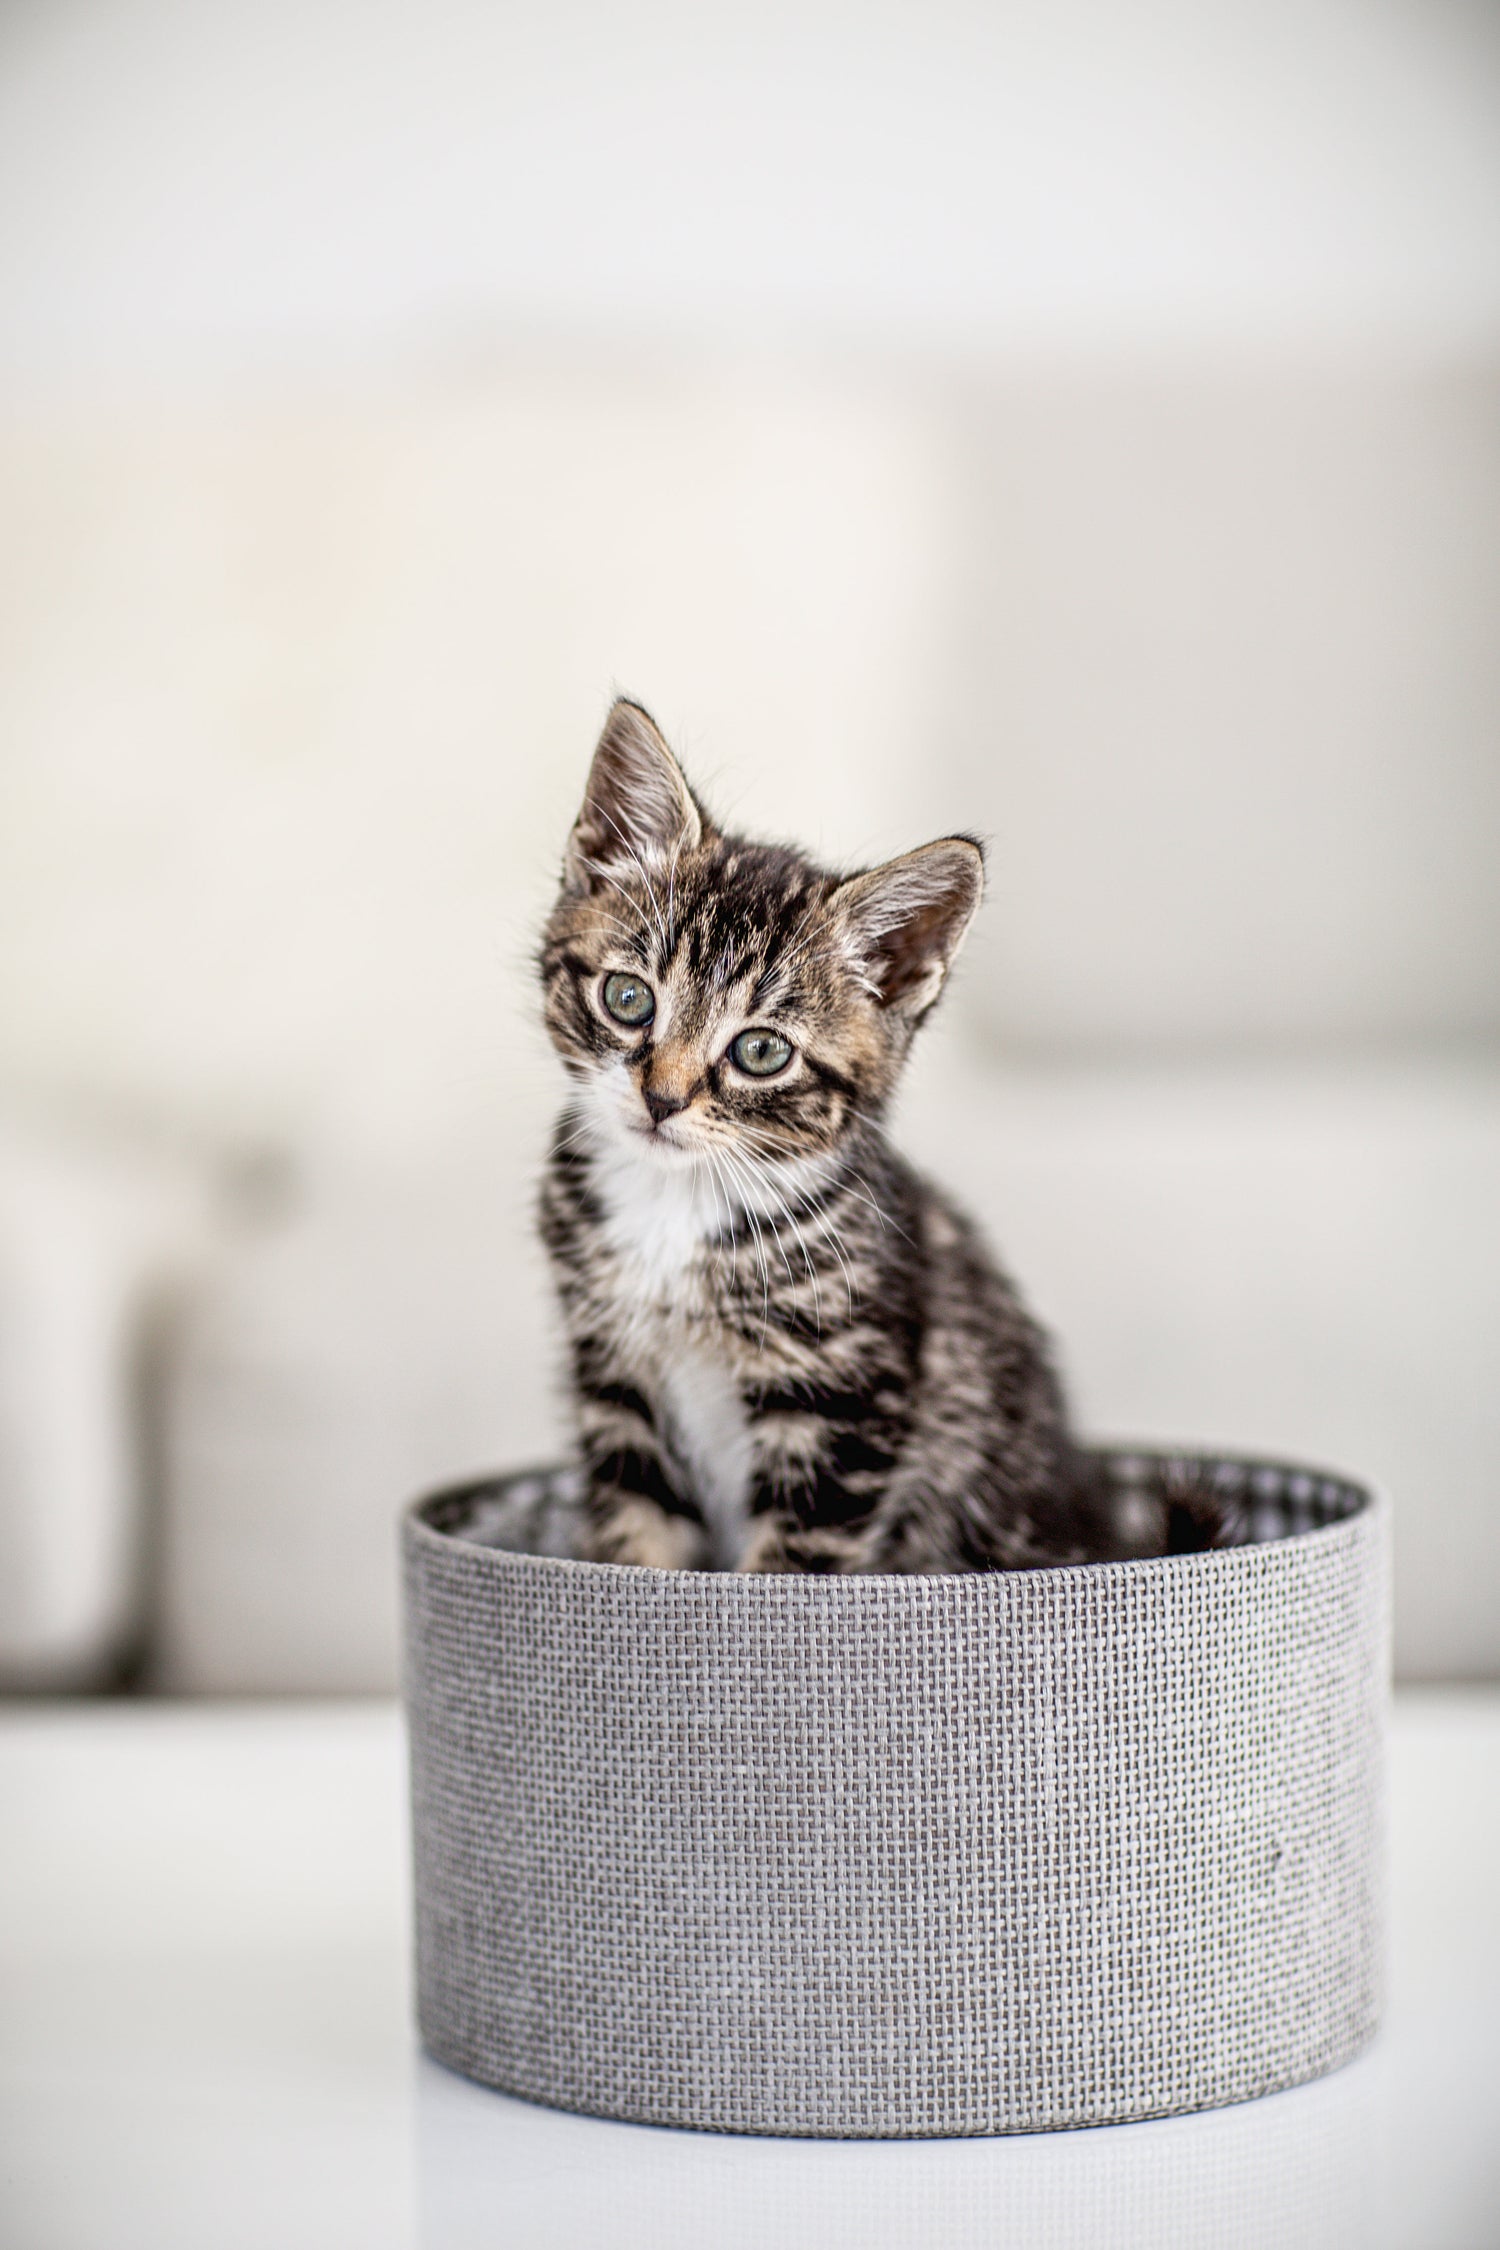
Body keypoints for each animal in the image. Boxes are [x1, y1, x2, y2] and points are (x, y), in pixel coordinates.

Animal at [541, 693, 1151, 1575]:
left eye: (761, 1051)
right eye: (629, 998)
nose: (661, 1099)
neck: (675, 1211)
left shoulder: (844, 1413)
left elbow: (785, 1570)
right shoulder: (617, 1391)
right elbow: (635, 1544)